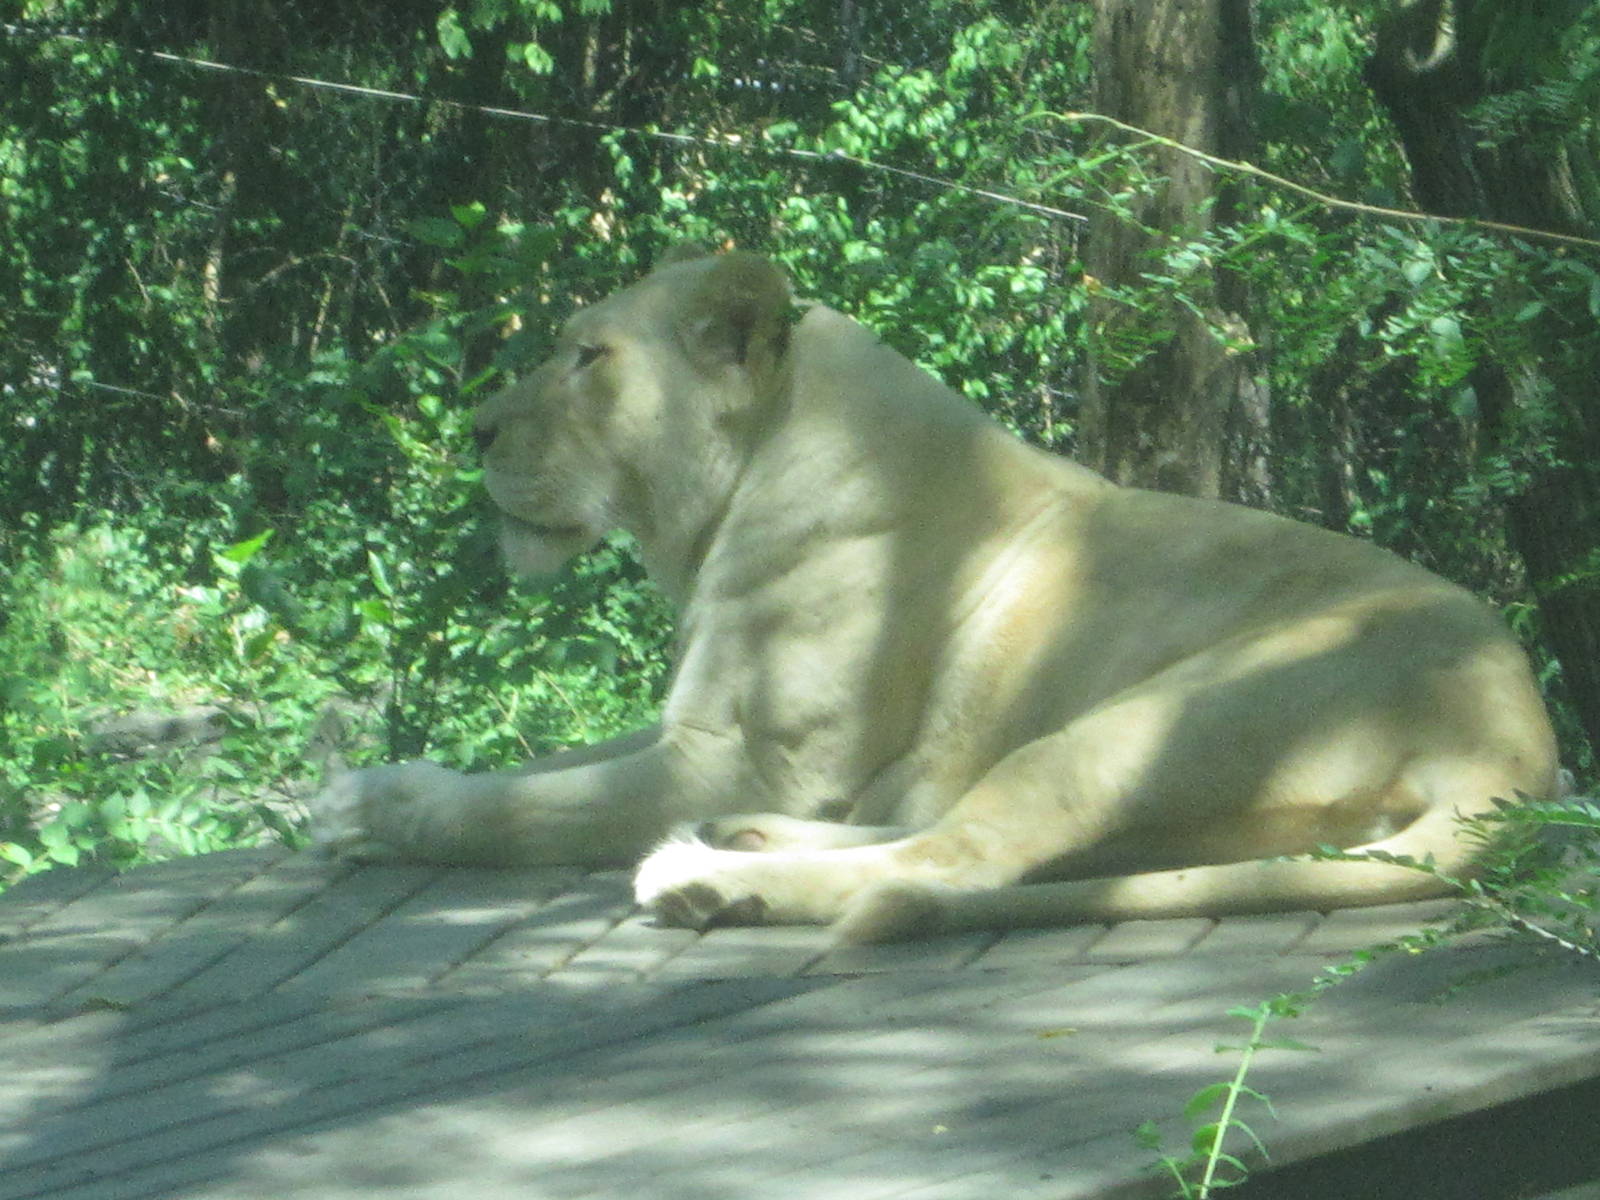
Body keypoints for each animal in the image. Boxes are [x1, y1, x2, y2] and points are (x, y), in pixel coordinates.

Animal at [312, 248, 1558, 943]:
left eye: (587, 358)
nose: (474, 431)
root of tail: (1520, 745)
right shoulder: (699, 730)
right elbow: (544, 766)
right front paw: (376, 783)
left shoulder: (741, 752)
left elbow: (521, 808)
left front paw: (377, 811)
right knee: (969, 841)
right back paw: (742, 849)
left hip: (1139, 722)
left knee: (949, 861)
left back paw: (706, 877)